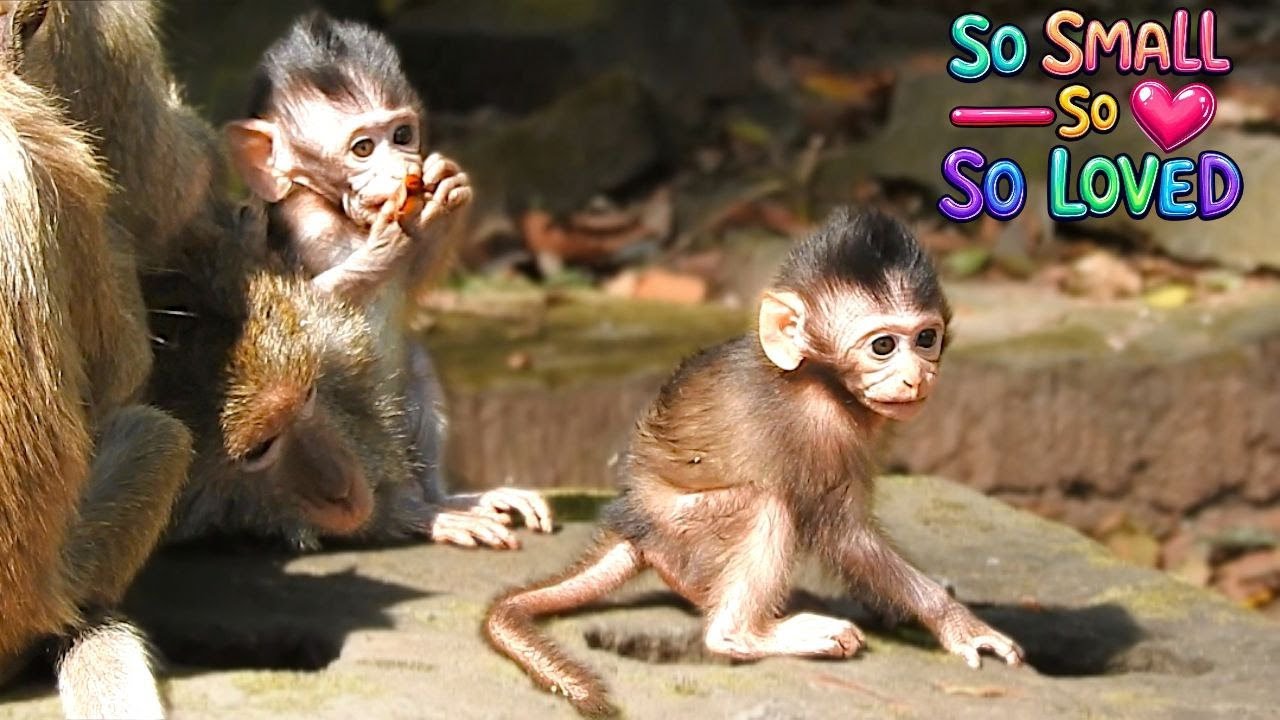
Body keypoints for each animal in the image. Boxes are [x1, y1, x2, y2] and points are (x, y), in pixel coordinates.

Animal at [221, 11, 551, 549]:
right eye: (362, 148)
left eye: (401, 135)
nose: (404, 167)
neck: (339, 213)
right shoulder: (305, 224)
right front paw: (384, 245)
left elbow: (411, 282)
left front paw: (445, 193)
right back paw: (417, 515)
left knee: (414, 363)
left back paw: (450, 500)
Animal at [484, 208, 1024, 716]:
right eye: (883, 346)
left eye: (926, 339)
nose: (916, 377)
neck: (819, 379)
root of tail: (632, 522)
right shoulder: (819, 428)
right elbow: (844, 535)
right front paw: (954, 621)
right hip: (680, 523)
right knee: (766, 504)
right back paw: (743, 633)